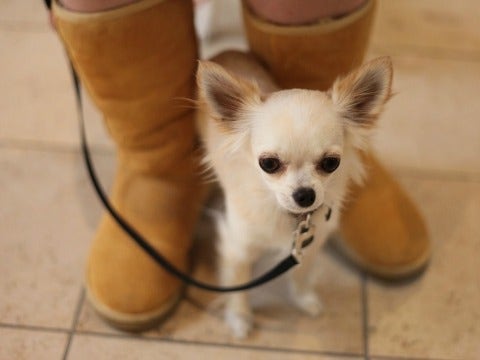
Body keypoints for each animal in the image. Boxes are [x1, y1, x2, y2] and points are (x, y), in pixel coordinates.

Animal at [196, 50, 394, 338]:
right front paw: (240, 317)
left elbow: (301, 274)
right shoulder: (237, 247)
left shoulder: (309, 244)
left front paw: (303, 299)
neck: (288, 216)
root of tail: (226, 52)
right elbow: (238, 283)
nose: (305, 195)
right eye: (268, 164)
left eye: (331, 163)